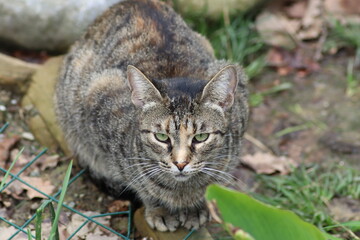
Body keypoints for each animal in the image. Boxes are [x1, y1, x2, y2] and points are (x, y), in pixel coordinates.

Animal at [54, 0, 249, 232]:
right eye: (161, 137)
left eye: (201, 137)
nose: (180, 164)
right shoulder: (100, 101)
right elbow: (140, 182)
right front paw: (159, 209)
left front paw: (196, 206)